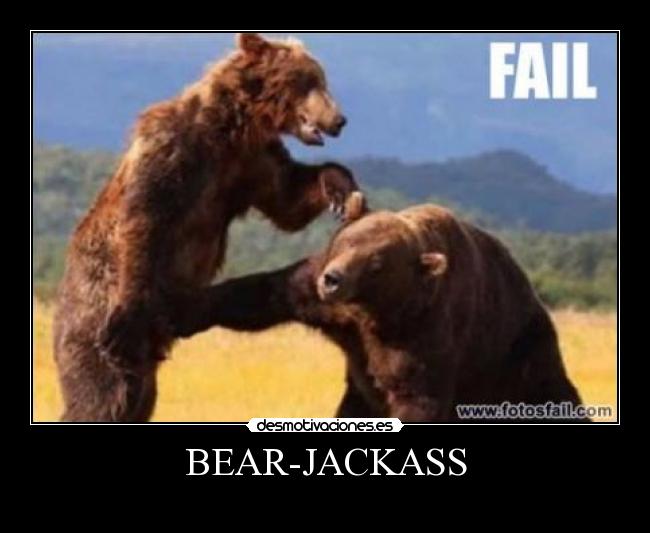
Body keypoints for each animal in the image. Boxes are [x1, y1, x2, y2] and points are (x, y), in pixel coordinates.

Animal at [53, 33, 365, 422]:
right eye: (309, 80)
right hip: (93, 320)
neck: (233, 128)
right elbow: (145, 217)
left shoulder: (251, 163)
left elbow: (288, 200)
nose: (340, 119)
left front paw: (341, 187)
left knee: (139, 398)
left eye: (321, 79)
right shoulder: (174, 148)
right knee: (104, 395)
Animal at [175, 204, 586, 423]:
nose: (333, 279)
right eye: (347, 240)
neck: (373, 309)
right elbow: (266, 294)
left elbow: (416, 397)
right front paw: (183, 310)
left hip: (518, 356)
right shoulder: (329, 307)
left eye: (376, 263)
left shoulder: (417, 335)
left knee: (552, 395)